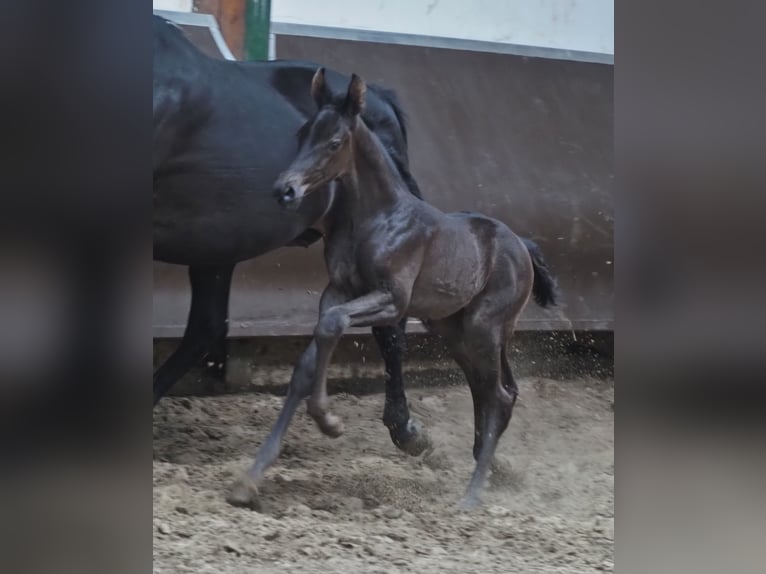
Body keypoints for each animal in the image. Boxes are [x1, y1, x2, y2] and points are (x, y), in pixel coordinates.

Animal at [228, 68, 560, 512]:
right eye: (302, 134)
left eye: (335, 142)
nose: (285, 190)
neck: (376, 218)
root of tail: (521, 244)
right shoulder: (337, 291)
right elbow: (305, 364)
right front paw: (249, 479)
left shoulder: (391, 301)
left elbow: (334, 325)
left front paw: (329, 421)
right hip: (455, 331)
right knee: (491, 390)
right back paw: (486, 468)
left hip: (484, 328)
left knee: (499, 396)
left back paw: (472, 494)